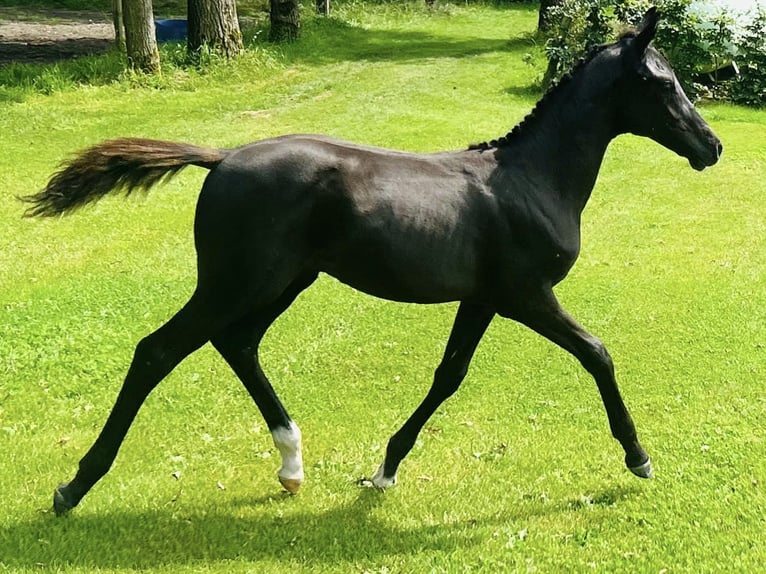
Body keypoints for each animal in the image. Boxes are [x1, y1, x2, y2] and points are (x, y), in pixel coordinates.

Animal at [22, 7, 720, 516]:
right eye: (661, 82)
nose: (710, 146)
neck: (529, 179)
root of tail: (221, 158)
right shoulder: (527, 296)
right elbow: (597, 354)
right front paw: (638, 457)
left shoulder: (483, 299)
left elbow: (449, 375)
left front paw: (385, 468)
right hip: (236, 281)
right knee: (158, 351)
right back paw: (72, 488)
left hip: (282, 282)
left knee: (237, 343)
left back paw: (292, 465)